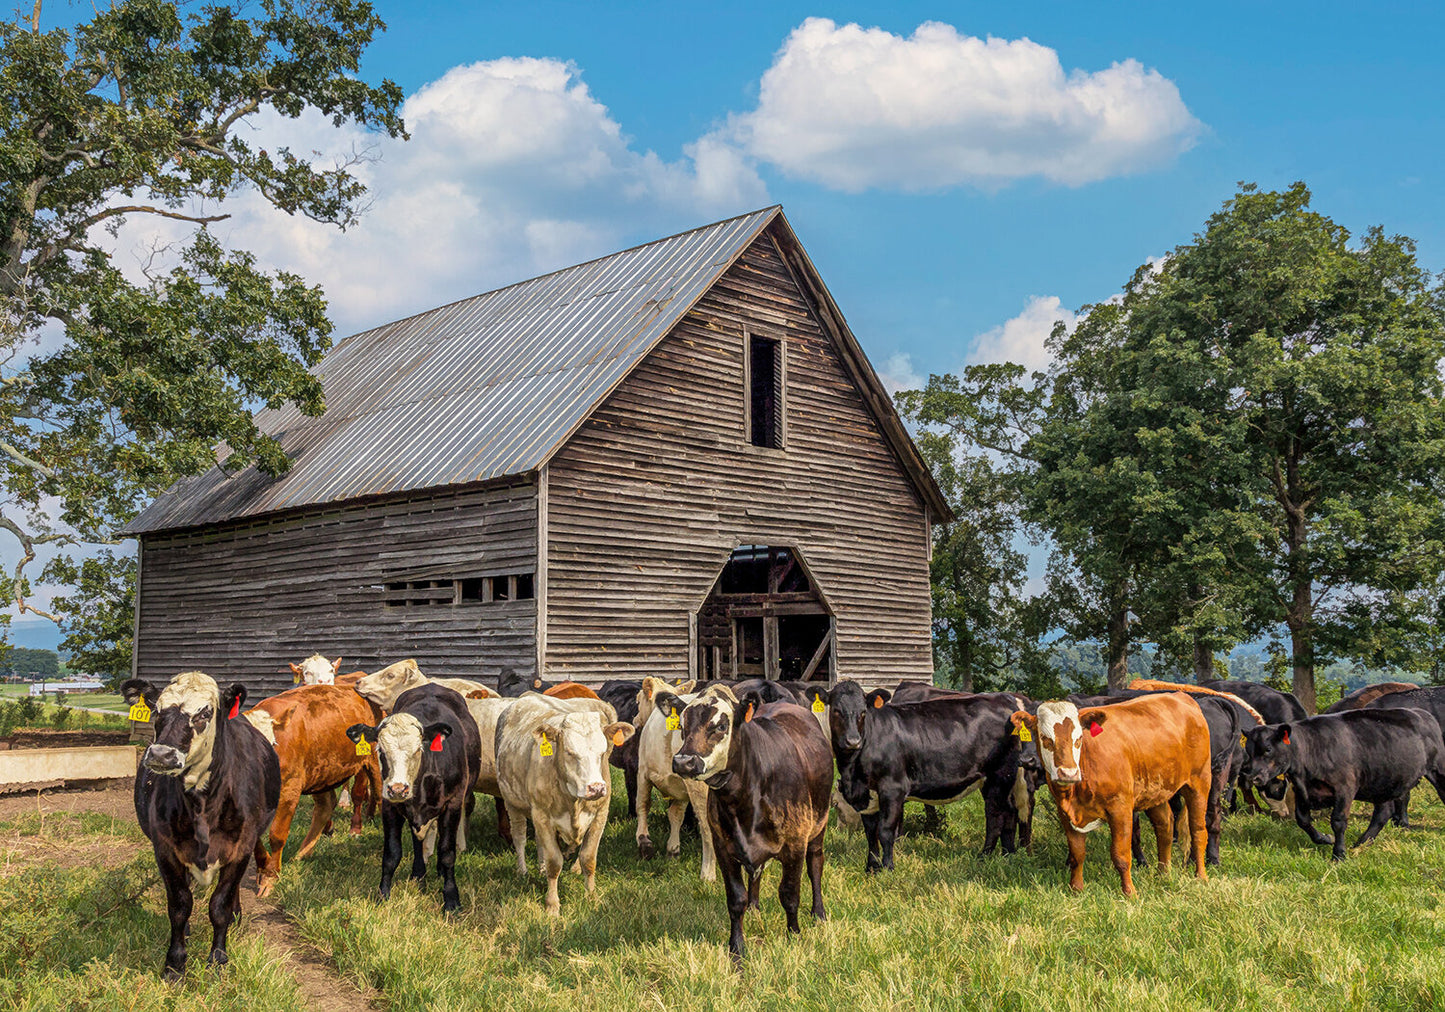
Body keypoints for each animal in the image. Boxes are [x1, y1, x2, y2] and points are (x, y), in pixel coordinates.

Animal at [122, 670, 280, 983]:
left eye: (205, 713)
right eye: (157, 710)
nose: (161, 755)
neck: (201, 804)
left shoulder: (240, 848)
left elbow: (220, 905)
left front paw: (217, 960)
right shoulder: (166, 850)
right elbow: (179, 906)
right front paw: (175, 964)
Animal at [346, 679, 482, 907]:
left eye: (418, 749)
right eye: (381, 751)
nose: (398, 789)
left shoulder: (453, 804)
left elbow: (447, 852)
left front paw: (451, 899)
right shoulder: (389, 806)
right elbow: (391, 854)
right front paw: (383, 895)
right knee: (418, 840)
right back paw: (418, 874)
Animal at [497, 696, 632, 919]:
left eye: (602, 752)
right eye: (570, 752)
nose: (596, 787)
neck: (574, 800)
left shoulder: (600, 815)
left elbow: (588, 858)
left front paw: (592, 898)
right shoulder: (541, 814)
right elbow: (554, 862)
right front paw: (552, 905)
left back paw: (540, 869)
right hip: (512, 803)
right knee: (519, 837)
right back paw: (522, 871)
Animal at [826, 676, 1028, 867]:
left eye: (863, 712)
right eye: (836, 710)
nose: (853, 741)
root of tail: (1005, 698)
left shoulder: (893, 788)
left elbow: (886, 831)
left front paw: (888, 867)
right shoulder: (867, 796)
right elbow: (871, 834)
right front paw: (871, 868)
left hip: (1000, 775)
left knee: (995, 815)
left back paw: (984, 856)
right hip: (995, 780)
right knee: (1009, 811)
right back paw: (1008, 854)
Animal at [1011, 691, 1213, 896]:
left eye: (1079, 739)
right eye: (1045, 738)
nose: (1068, 773)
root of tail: (1181, 696)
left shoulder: (1120, 809)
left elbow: (1121, 855)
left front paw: (1129, 893)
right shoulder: (1065, 813)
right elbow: (1077, 854)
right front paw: (1076, 889)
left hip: (1199, 782)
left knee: (1197, 830)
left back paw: (1201, 876)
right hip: (1155, 791)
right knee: (1165, 827)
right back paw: (1163, 874)